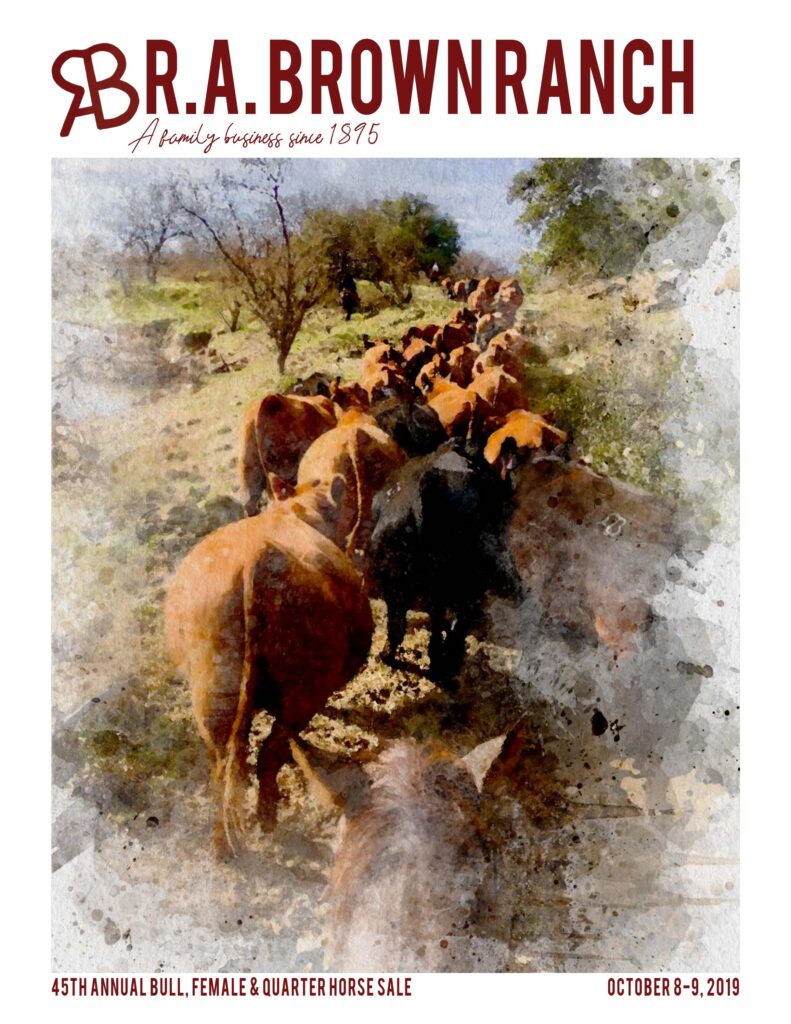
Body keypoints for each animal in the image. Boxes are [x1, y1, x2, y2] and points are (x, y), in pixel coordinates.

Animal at [164, 491, 374, 855]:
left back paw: (225, 848)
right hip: (305, 688)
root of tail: (256, 560)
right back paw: (267, 822)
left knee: (225, 765)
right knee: (269, 751)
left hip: (213, 694)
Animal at [367, 440, 521, 681]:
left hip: (399, 579)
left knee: (402, 623)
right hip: (458, 579)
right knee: (450, 620)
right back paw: (443, 663)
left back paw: (392, 656)